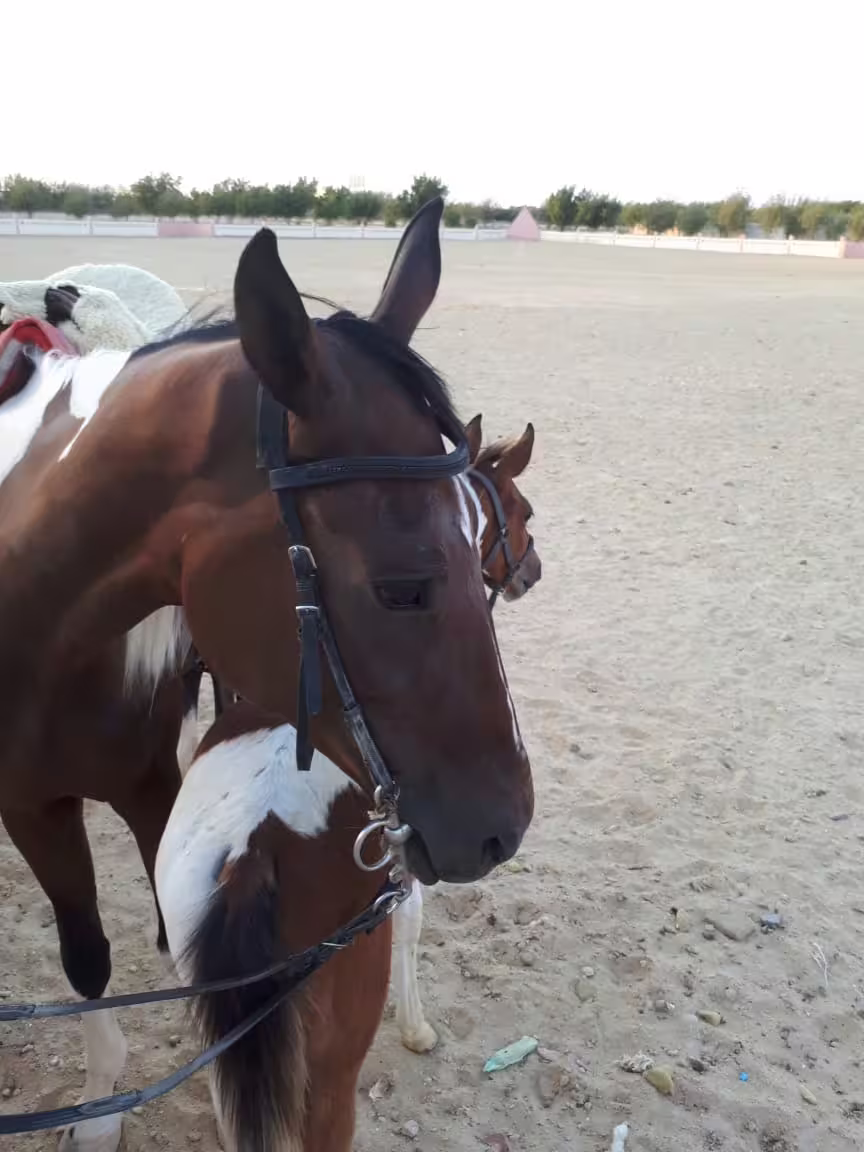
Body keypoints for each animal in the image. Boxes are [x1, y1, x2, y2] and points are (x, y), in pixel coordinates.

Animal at [155, 424, 541, 1151]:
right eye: (522, 511)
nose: (532, 570)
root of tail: (253, 855)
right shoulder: (406, 856)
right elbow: (412, 924)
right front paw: (416, 1028)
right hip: (328, 1071)